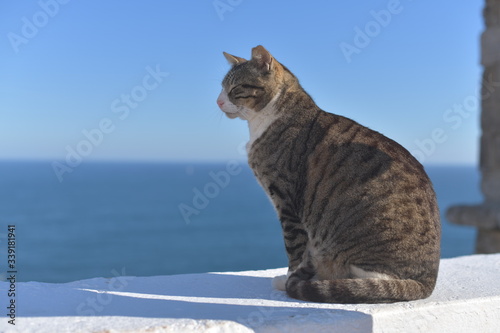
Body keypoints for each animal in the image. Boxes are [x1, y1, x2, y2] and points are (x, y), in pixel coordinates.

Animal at [217, 45, 440, 302]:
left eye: (235, 88)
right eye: (221, 87)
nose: (218, 101)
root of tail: (427, 282)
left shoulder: (287, 203)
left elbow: (294, 250)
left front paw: (288, 280)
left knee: (376, 281)